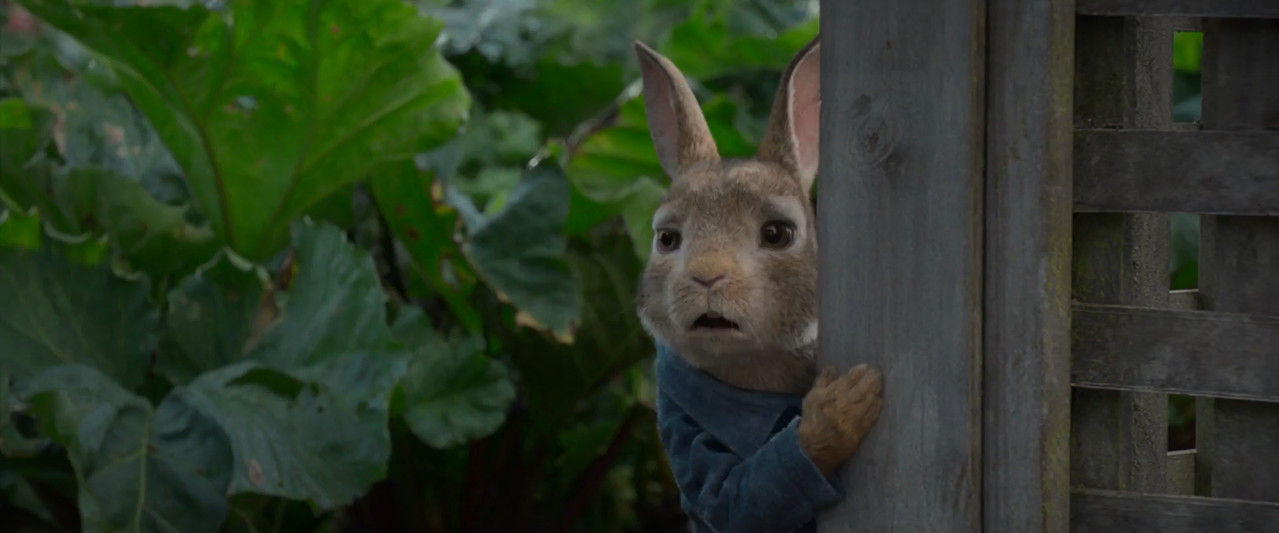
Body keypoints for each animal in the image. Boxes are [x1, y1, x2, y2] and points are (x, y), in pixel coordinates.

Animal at [633, 35, 884, 533]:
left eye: (777, 234)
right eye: (667, 239)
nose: (707, 275)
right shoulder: (683, 430)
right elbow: (742, 499)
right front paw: (839, 409)